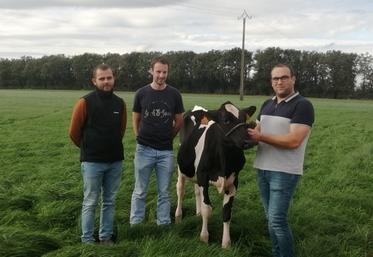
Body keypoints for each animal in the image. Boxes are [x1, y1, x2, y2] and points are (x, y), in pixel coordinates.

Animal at [174, 101, 256, 247]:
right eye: (226, 120)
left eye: (244, 119)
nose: (249, 141)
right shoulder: (203, 177)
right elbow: (207, 209)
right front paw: (204, 237)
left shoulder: (234, 181)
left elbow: (227, 212)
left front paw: (226, 243)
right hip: (182, 168)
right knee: (180, 190)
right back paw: (178, 216)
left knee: (196, 191)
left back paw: (197, 213)